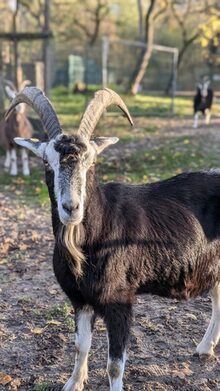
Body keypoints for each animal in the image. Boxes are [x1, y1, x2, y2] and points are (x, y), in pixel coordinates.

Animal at [6, 88, 220, 391]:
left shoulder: (120, 301)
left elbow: (115, 365)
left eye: (92, 162)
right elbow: (80, 346)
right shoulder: (80, 299)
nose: (71, 208)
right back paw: (204, 347)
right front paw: (73, 383)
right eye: (47, 162)